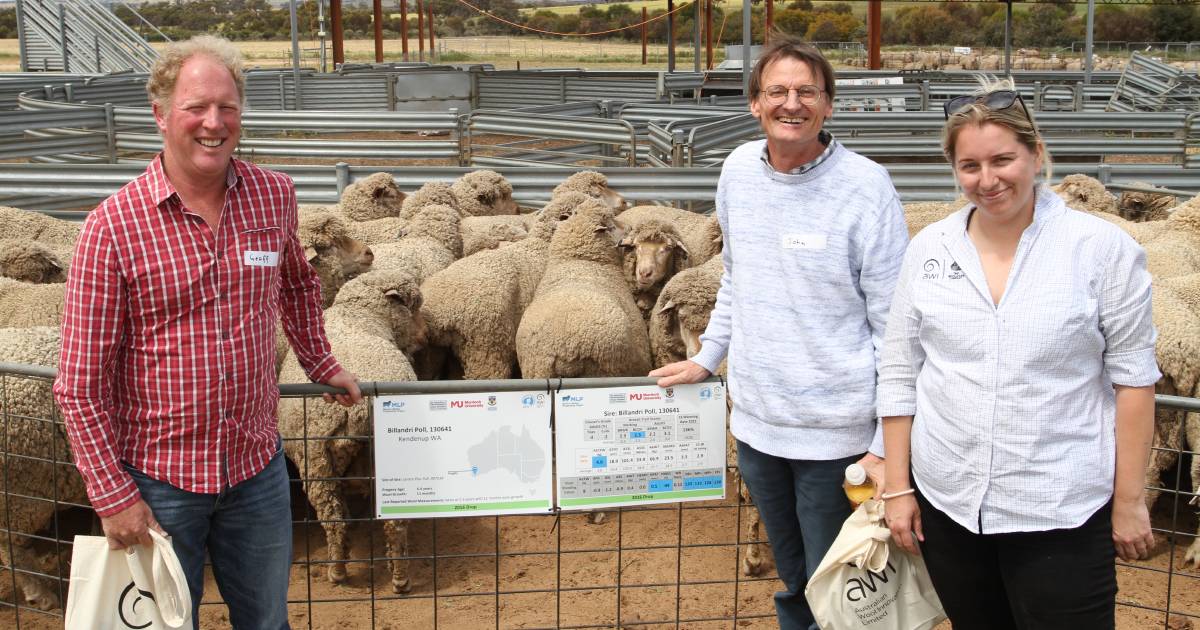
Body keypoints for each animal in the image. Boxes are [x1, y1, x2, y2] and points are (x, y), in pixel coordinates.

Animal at [276, 267, 427, 592]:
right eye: (414, 307)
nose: (425, 336)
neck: (359, 316)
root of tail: (355, 408)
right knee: (392, 521)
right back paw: (399, 577)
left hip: (316, 462)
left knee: (335, 520)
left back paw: (339, 571)